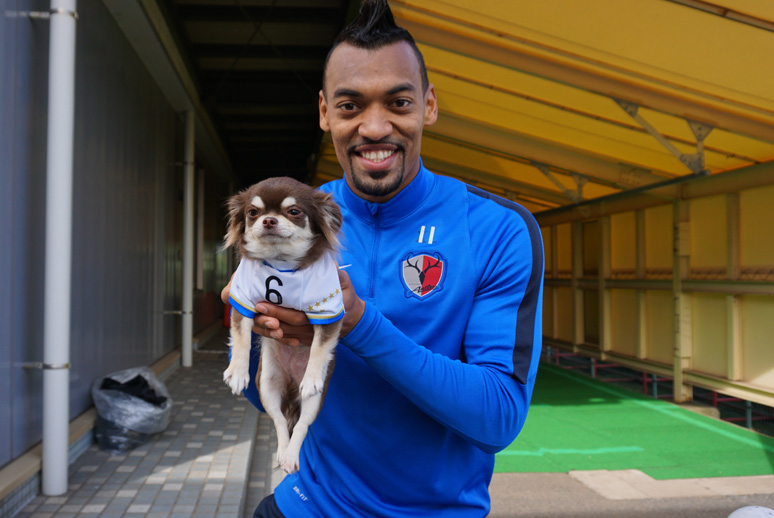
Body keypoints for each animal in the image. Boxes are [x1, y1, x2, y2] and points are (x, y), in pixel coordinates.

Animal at [222, 176, 343, 474]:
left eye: (294, 212)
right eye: (253, 212)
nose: (268, 220)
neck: (282, 263)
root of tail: (289, 383)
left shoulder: (328, 310)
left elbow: (319, 349)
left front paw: (311, 376)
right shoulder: (242, 299)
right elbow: (241, 337)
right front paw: (238, 371)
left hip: (313, 402)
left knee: (301, 425)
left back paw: (290, 456)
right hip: (267, 385)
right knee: (279, 422)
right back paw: (281, 452)